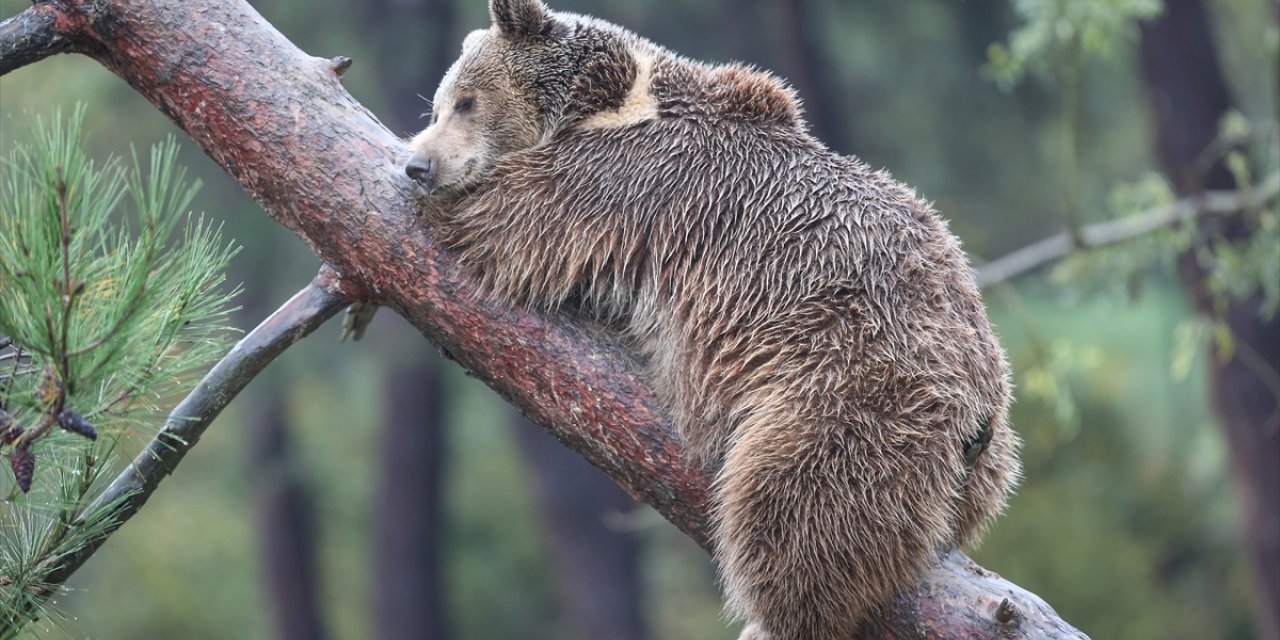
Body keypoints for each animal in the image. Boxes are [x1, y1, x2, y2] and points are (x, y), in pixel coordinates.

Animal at [404, 2, 1013, 637]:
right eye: (438, 105)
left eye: (466, 101)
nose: (418, 165)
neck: (608, 100)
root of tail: (978, 405)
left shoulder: (624, 179)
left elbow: (507, 221)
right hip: (981, 458)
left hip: (850, 384)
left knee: (791, 507)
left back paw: (770, 615)